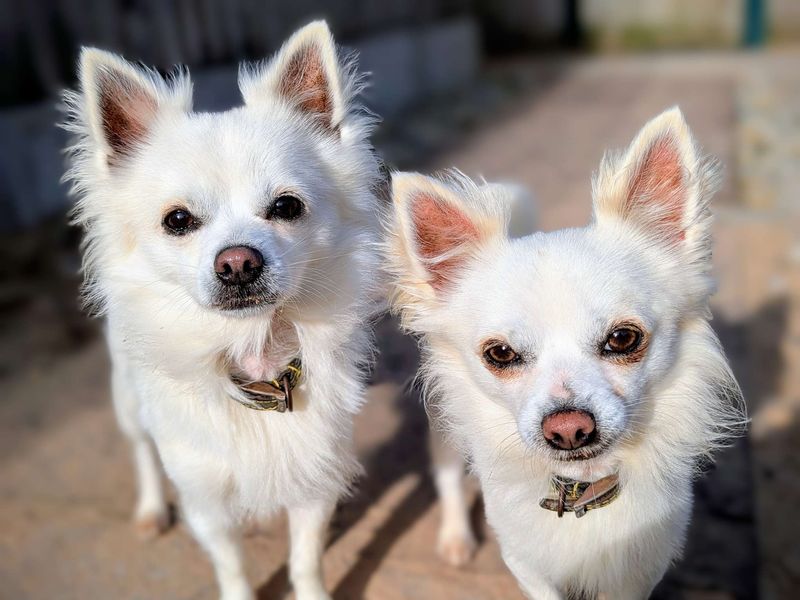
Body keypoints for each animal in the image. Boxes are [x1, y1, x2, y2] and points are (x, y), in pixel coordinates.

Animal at [64, 19, 382, 600]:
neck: (253, 352)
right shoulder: (206, 501)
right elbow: (232, 567)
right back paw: (150, 509)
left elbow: (305, 561)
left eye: (286, 207)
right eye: (177, 220)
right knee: (139, 448)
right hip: (126, 394)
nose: (237, 263)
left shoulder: (314, 480)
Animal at [388, 109, 744, 600]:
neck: (583, 488)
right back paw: (456, 538)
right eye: (500, 353)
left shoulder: (638, 574)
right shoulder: (526, 564)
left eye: (623, 339)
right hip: (445, 429)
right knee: (447, 477)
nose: (568, 429)